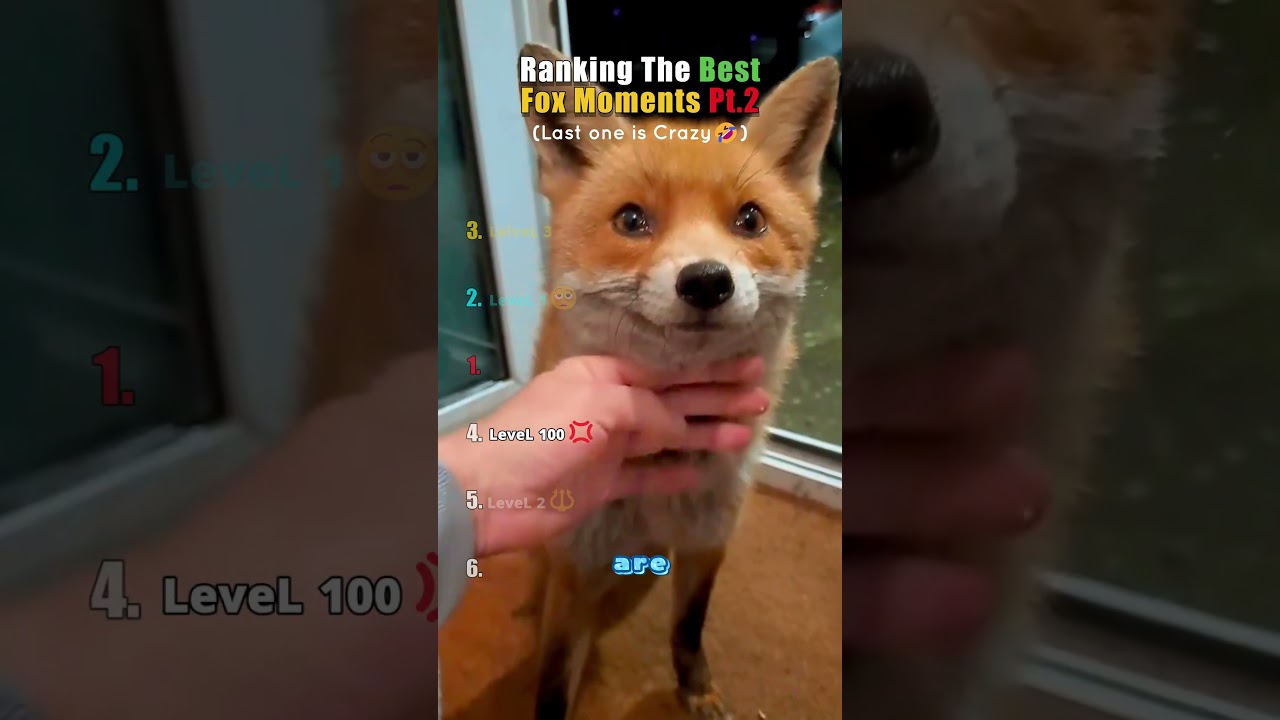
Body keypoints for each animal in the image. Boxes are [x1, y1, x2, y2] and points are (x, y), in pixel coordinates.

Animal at [517, 43, 839, 720]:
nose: (708, 281)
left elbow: (688, 627)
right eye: (632, 219)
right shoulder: (579, 560)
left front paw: (696, 689)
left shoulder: (709, 537)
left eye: (750, 220)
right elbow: (554, 678)